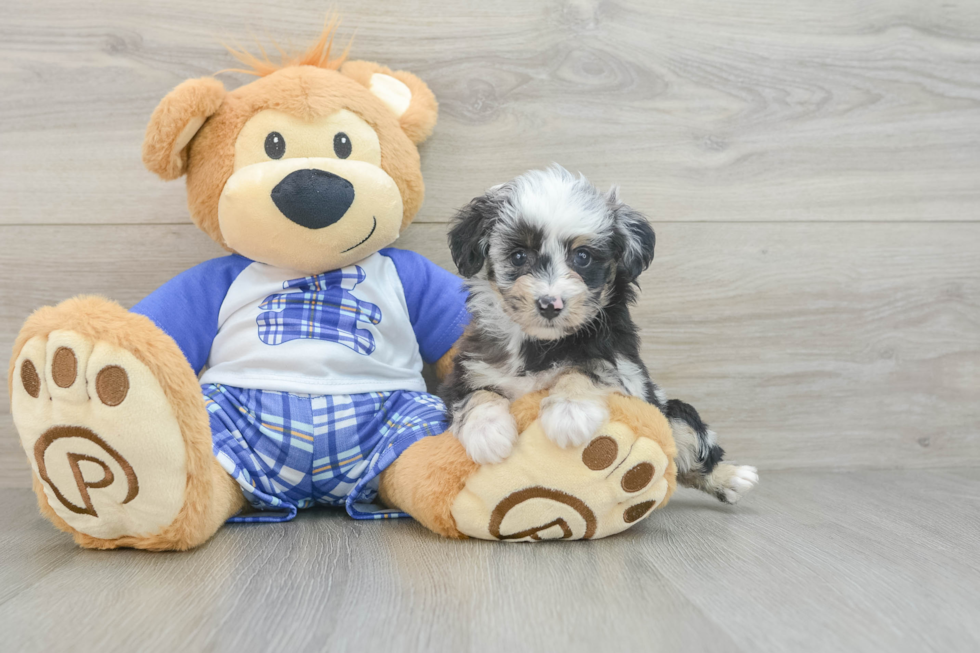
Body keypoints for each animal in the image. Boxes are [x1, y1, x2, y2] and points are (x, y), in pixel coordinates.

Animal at [442, 166, 756, 502]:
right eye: (518, 256)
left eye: (582, 257)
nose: (550, 304)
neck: (540, 344)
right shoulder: (468, 368)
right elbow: (477, 394)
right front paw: (487, 433)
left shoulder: (625, 369)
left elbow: (589, 367)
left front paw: (570, 413)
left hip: (673, 412)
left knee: (693, 453)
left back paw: (732, 477)